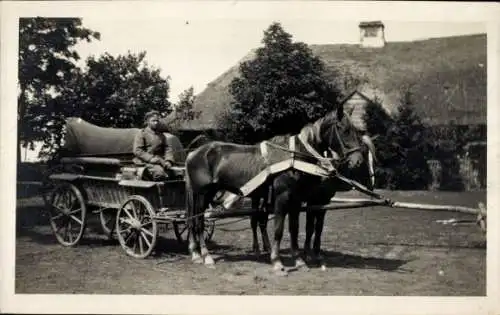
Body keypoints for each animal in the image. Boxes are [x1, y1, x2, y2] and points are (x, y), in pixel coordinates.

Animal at [184, 107, 376, 276]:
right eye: (344, 130)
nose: (357, 161)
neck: (295, 157)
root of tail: (193, 154)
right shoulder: (283, 198)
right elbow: (279, 229)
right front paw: (277, 262)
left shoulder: (297, 200)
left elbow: (295, 229)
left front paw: (299, 260)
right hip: (202, 195)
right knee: (199, 223)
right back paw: (206, 257)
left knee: (194, 221)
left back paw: (196, 253)